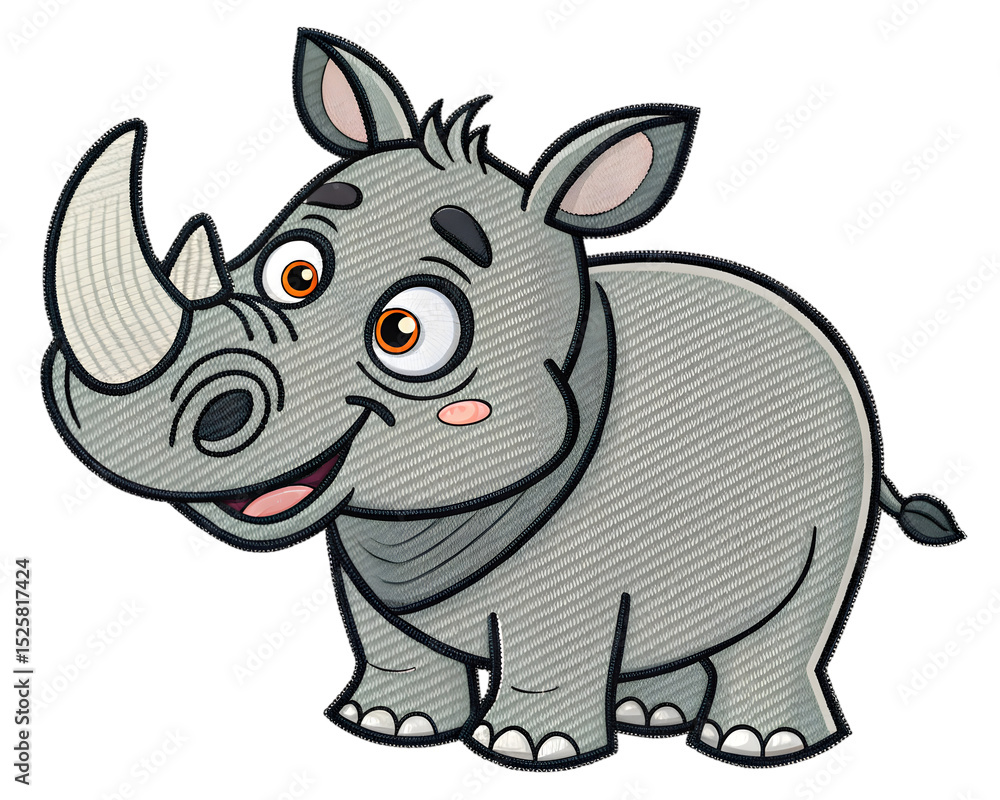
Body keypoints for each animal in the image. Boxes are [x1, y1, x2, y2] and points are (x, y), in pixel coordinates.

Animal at [41, 29, 964, 770]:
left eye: (405, 331)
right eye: (294, 272)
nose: (202, 411)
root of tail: (816, 327)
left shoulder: (576, 576)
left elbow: (552, 647)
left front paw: (531, 751)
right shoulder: (363, 556)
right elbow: (389, 639)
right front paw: (389, 727)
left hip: (842, 455)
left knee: (800, 610)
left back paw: (755, 747)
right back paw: (650, 712)